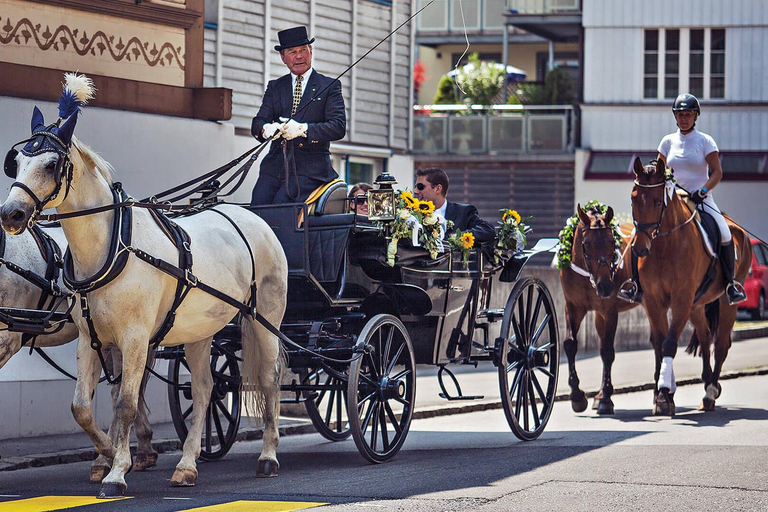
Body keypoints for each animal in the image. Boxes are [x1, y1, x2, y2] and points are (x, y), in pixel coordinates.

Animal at [560, 202, 636, 414]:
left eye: (612, 242)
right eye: (586, 244)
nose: (606, 286)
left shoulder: (609, 311)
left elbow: (607, 351)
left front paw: (606, 399)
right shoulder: (573, 306)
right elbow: (570, 344)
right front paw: (577, 396)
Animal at [632, 158, 752, 414]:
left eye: (658, 201)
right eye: (633, 198)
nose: (639, 248)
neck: (664, 246)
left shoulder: (681, 300)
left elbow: (669, 343)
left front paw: (664, 395)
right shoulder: (653, 302)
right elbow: (659, 344)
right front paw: (663, 394)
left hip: (725, 303)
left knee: (721, 344)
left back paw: (710, 392)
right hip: (697, 306)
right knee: (706, 337)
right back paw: (707, 386)